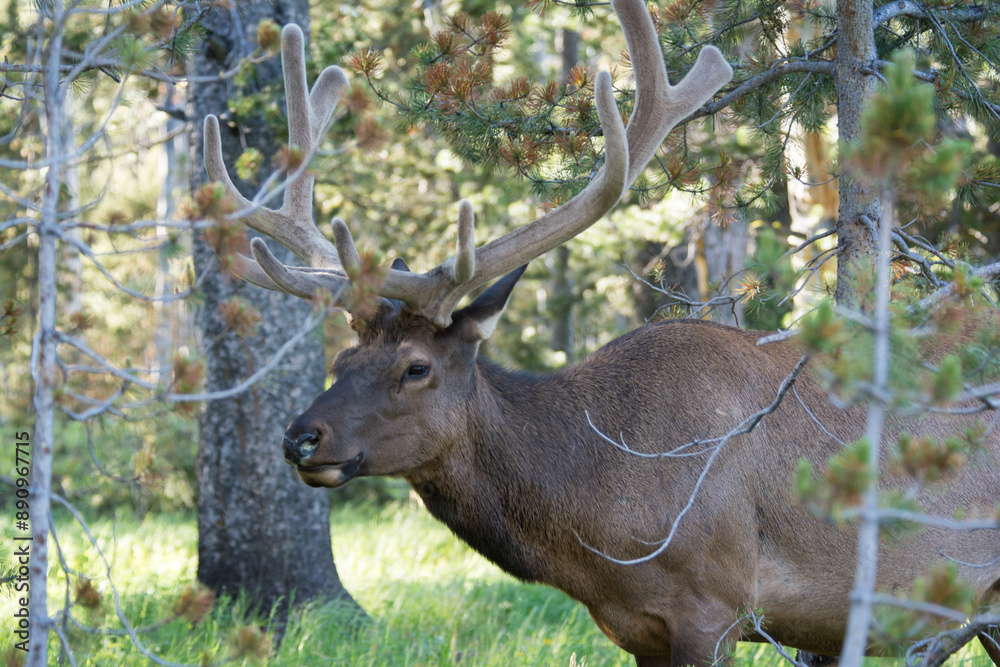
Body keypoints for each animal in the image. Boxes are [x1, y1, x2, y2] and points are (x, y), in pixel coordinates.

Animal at [200, 1, 1000, 665]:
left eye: (416, 366)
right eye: (342, 356)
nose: (300, 438)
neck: (593, 527)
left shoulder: (714, 606)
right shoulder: (636, 629)